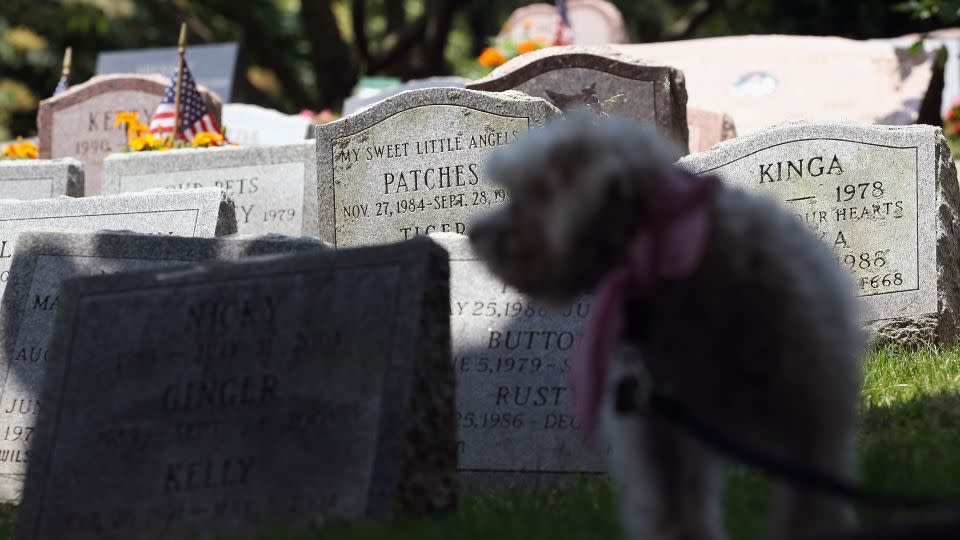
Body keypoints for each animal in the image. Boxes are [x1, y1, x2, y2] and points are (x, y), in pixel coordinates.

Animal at [468, 117, 868, 540]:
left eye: (532, 195)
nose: (473, 233)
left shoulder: (809, 420)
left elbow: (810, 504)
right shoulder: (661, 438)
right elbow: (674, 513)